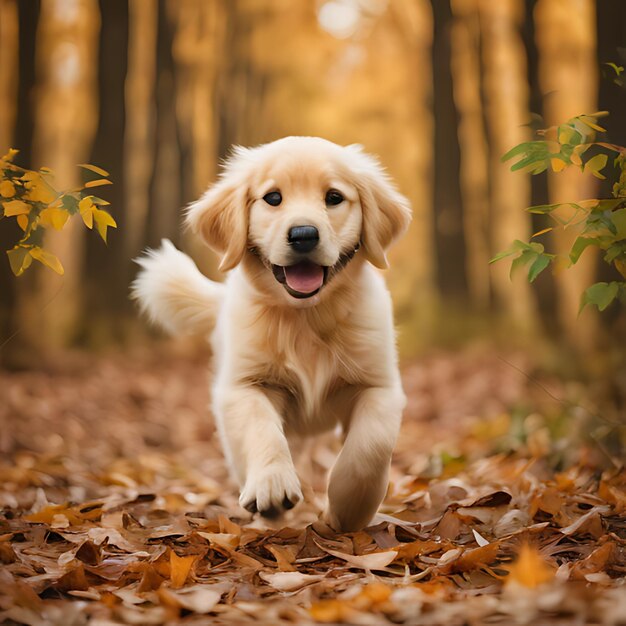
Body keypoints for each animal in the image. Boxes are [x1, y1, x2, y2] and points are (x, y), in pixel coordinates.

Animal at [133, 138, 410, 532]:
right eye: (273, 198)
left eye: (334, 197)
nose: (304, 235)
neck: (305, 317)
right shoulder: (243, 385)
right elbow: (261, 428)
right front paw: (272, 485)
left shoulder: (380, 385)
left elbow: (370, 445)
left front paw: (348, 506)